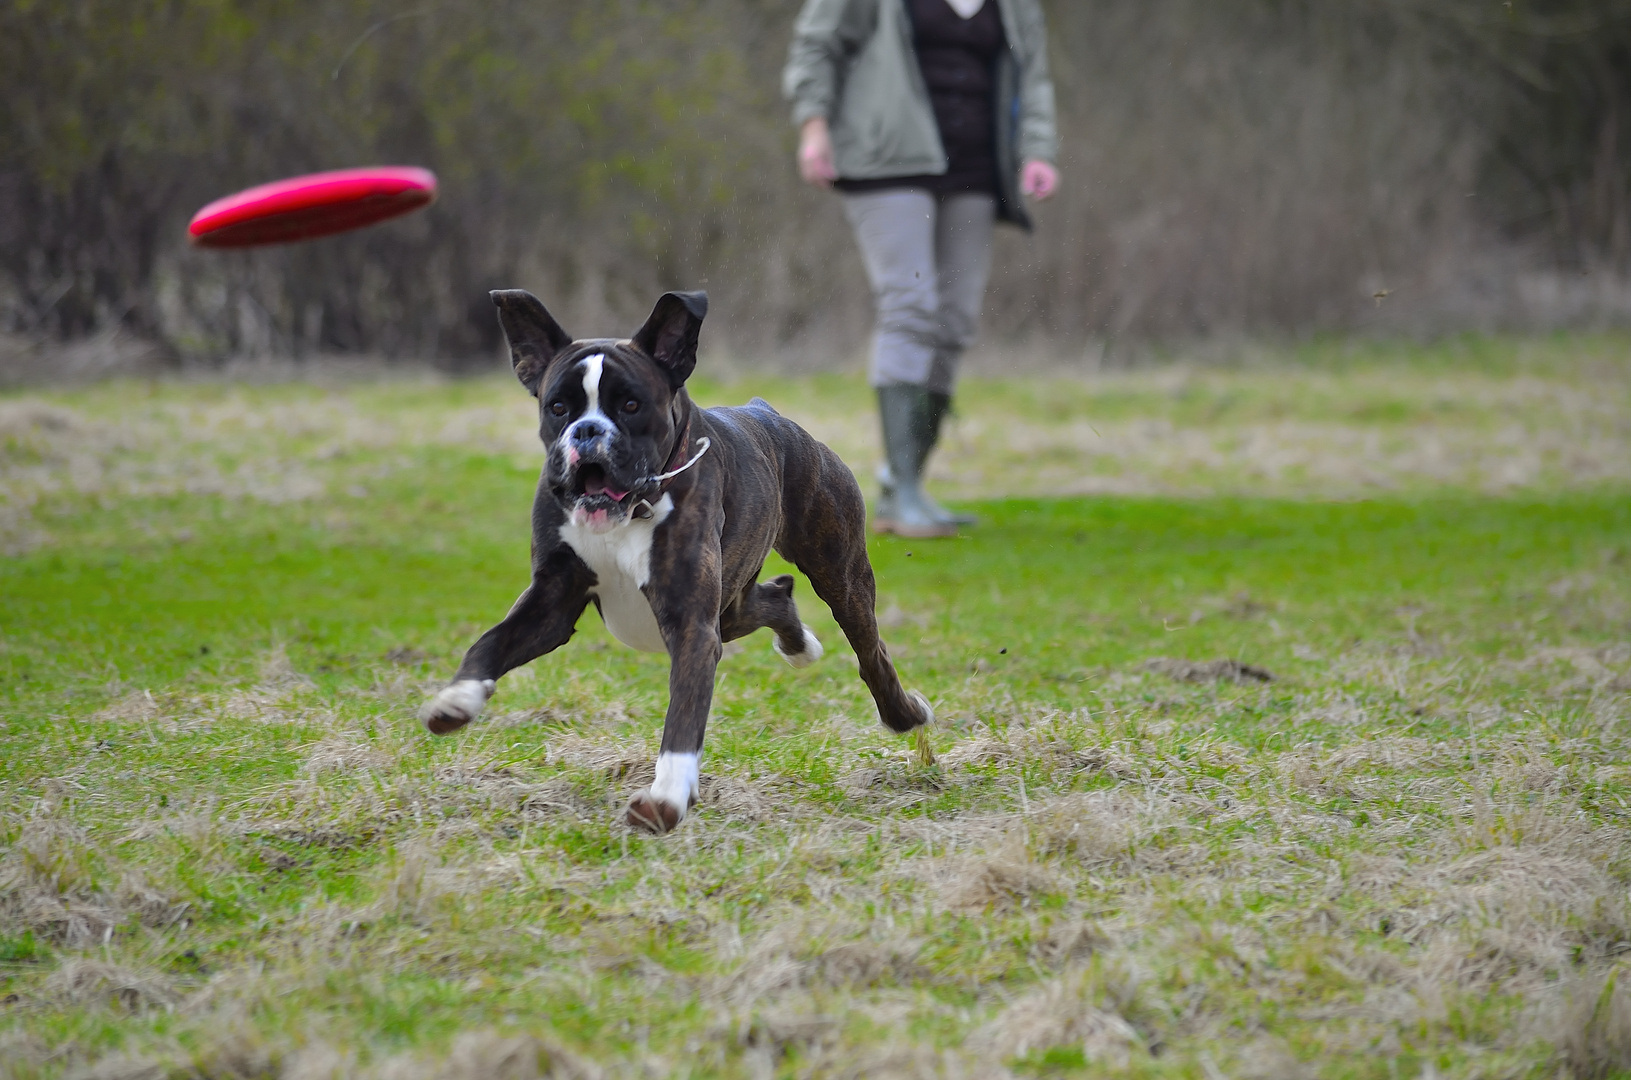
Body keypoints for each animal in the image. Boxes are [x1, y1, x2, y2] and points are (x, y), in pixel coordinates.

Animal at [420, 290, 932, 835]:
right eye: (558, 407)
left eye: (631, 404)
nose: (586, 431)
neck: (628, 514)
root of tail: (768, 412)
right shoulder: (551, 604)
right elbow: (492, 641)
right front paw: (458, 698)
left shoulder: (692, 627)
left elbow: (684, 716)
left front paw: (665, 798)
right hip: (732, 607)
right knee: (774, 596)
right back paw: (799, 645)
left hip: (840, 575)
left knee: (870, 651)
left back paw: (904, 713)